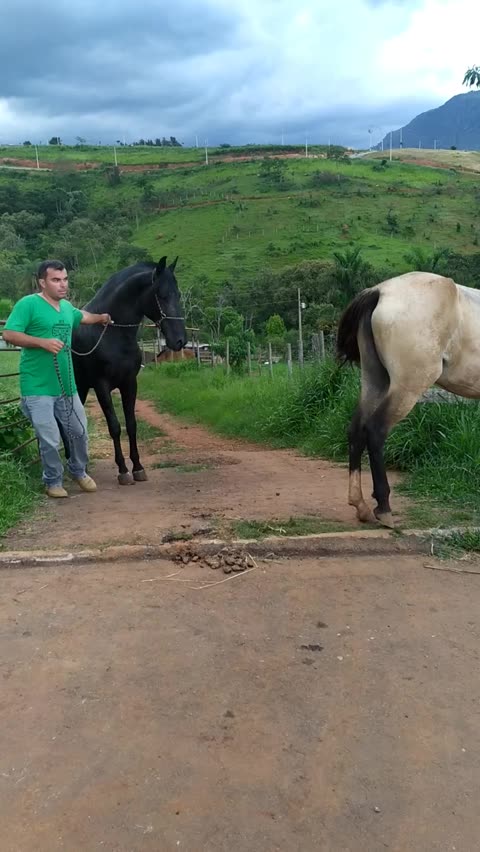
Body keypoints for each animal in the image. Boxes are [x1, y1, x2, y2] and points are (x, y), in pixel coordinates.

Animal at [61, 256, 186, 484]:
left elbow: (131, 424)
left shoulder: (129, 383)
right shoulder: (101, 386)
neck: (111, 333)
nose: (180, 340)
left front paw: (137, 467)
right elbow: (115, 426)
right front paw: (122, 470)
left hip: (80, 388)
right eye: (162, 295)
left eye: (178, 294)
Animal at [336, 270, 480, 528]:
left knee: (356, 431)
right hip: (407, 388)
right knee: (375, 431)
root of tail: (380, 292)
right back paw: (384, 508)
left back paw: (361, 506)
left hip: (374, 382)